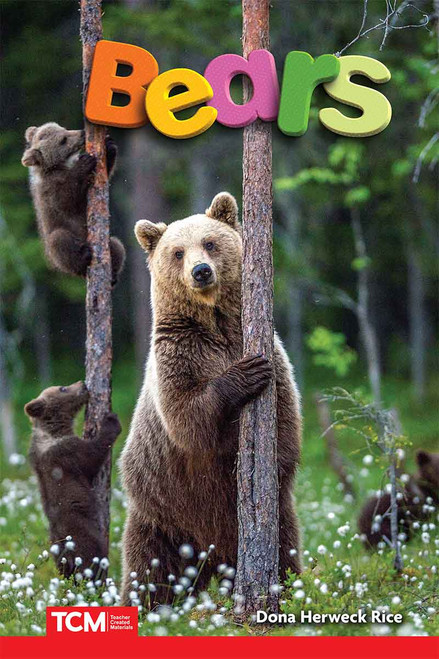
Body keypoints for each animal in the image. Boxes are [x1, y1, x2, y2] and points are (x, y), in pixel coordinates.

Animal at [21, 122, 125, 285]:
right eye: (63, 140)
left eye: (64, 129)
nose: (82, 133)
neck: (59, 166)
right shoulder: (51, 189)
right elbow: (67, 201)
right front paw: (84, 162)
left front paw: (109, 146)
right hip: (56, 246)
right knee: (59, 240)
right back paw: (84, 256)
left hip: (109, 243)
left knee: (116, 245)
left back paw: (113, 275)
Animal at [24, 381, 122, 577]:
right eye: (62, 388)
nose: (83, 384)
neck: (53, 431)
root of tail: (65, 551)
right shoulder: (67, 453)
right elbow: (92, 456)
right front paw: (111, 420)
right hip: (83, 536)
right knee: (93, 559)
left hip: (56, 554)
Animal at [119, 192, 302, 605]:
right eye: (177, 252)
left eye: (210, 242)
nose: (201, 271)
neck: (215, 322)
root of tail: (211, 556)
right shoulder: (179, 355)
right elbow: (188, 419)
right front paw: (244, 375)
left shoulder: (270, 353)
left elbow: (285, 421)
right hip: (161, 512)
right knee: (149, 569)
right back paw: (146, 604)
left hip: (270, 521)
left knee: (285, 548)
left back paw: (288, 587)